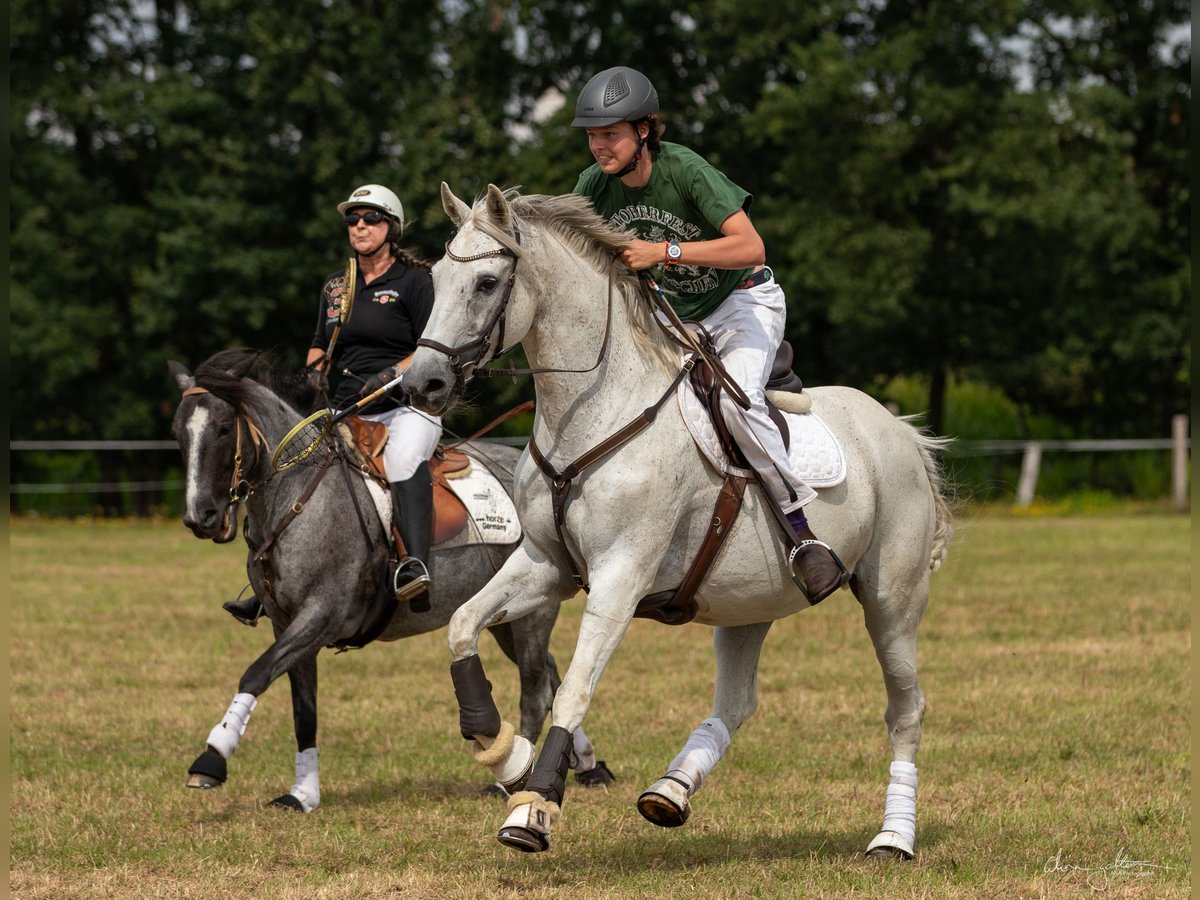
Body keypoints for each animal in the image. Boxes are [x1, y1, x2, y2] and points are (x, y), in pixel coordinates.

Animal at [169, 348, 609, 816]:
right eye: (178, 432)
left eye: (222, 428)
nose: (200, 518)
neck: (295, 496)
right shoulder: (287, 625)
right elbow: (303, 711)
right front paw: (302, 794)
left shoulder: (320, 615)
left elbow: (255, 674)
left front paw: (212, 757)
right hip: (504, 615)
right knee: (550, 674)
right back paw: (585, 764)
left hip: (532, 615)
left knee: (535, 688)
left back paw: (511, 782)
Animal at [408, 184, 950, 859]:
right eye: (434, 278)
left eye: (485, 283)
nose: (421, 383)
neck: (589, 413)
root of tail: (900, 427)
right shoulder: (546, 564)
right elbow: (461, 626)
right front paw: (505, 752)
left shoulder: (621, 575)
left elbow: (575, 688)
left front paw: (533, 808)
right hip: (751, 599)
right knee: (738, 702)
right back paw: (670, 791)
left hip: (891, 598)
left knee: (906, 707)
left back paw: (893, 837)